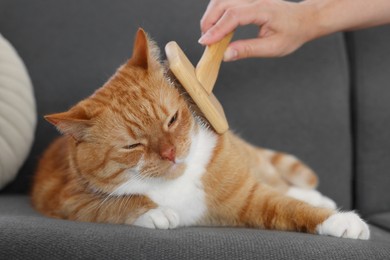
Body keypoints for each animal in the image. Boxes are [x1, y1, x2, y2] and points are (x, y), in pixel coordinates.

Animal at [31, 29, 368, 240]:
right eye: (132, 145)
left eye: (172, 120)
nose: (170, 153)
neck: (178, 183)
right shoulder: (67, 200)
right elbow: (116, 204)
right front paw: (155, 212)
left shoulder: (247, 196)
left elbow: (293, 207)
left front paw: (340, 219)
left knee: (277, 180)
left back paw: (315, 196)